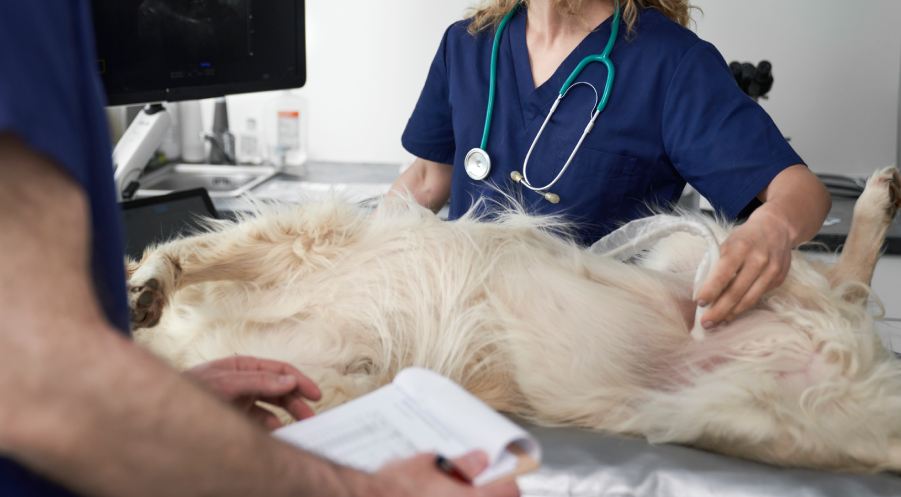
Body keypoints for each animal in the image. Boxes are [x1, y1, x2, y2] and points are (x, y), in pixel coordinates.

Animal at [128, 168, 900, 472]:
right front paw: (147, 296)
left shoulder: (304, 238)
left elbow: (193, 251)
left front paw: (149, 283)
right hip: (755, 412)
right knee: (846, 287)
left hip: (712, 261)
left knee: (842, 277)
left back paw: (876, 201)